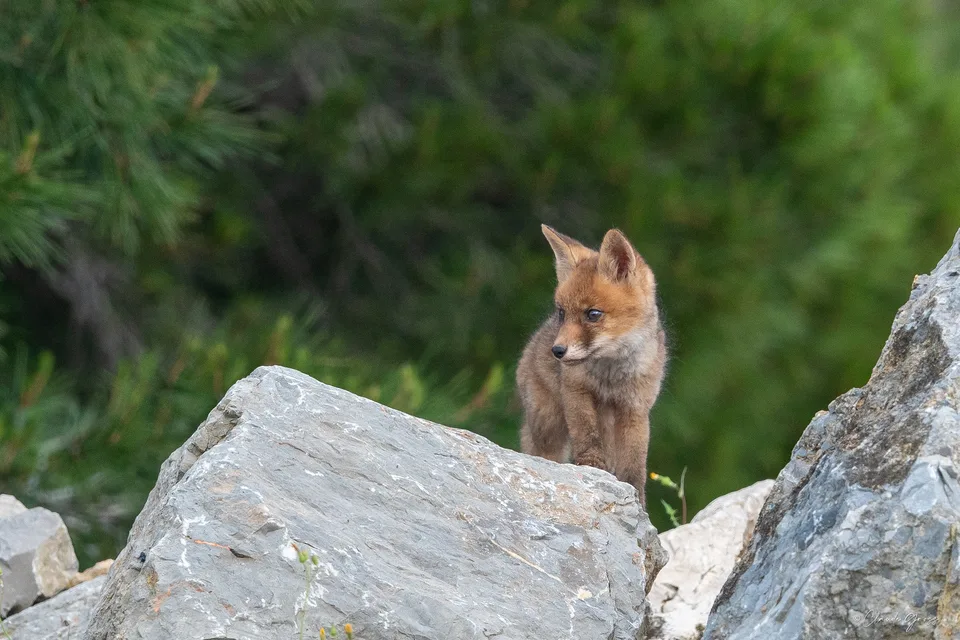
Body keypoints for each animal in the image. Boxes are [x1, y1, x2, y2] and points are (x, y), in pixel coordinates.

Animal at [516, 224, 666, 506]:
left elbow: (635, 463)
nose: (557, 351)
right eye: (562, 313)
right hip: (548, 425)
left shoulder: (635, 408)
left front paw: (636, 500)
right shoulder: (576, 391)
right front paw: (591, 466)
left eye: (593, 314)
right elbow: (586, 434)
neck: (610, 375)